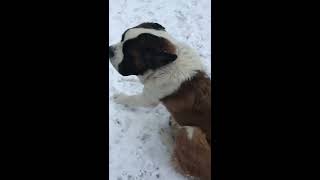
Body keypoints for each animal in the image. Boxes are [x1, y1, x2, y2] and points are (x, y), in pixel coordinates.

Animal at [109, 22, 211, 180]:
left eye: (128, 54)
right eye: (122, 38)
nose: (110, 50)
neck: (165, 66)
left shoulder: (148, 98)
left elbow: (133, 99)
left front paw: (120, 97)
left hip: (194, 132)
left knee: (179, 161)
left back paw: (166, 135)